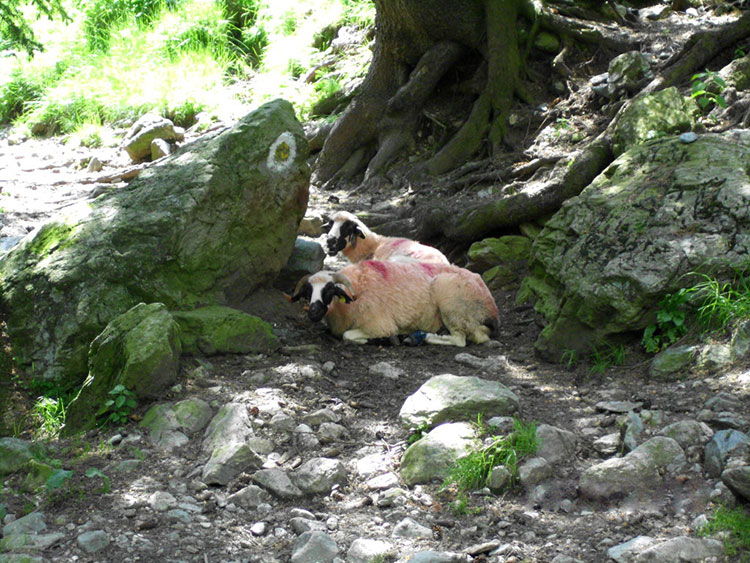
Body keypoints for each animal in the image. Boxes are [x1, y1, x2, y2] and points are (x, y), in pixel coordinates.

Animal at [292, 262, 500, 348]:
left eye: (329, 291)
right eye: (308, 292)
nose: (314, 312)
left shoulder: (380, 325)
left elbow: (347, 335)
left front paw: (377, 340)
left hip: (453, 304)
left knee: (461, 340)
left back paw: (422, 337)